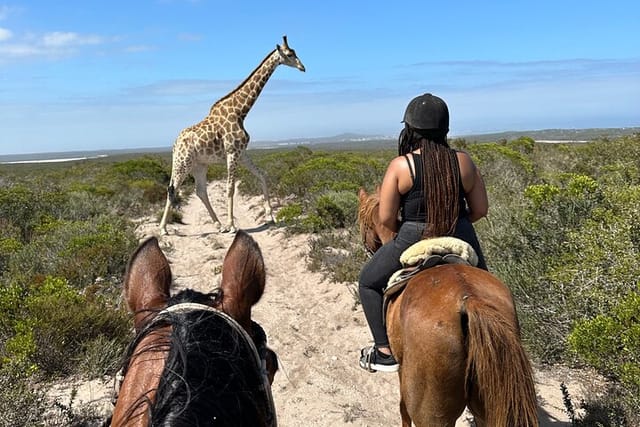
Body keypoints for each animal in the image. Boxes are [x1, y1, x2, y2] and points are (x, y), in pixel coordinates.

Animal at [159, 36, 304, 236]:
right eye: (290, 54)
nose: (302, 67)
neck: (240, 111)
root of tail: (174, 144)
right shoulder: (232, 153)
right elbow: (230, 188)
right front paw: (233, 226)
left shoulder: (242, 153)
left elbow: (262, 175)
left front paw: (270, 216)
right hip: (182, 163)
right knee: (172, 188)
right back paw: (163, 229)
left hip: (199, 165)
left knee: (200, 191)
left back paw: (218, 225)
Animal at [358, 190, 536, 427]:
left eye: (364, 224)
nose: (368, 248)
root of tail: (468, 300)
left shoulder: (402, 372)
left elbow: (403, 411)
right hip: (488, 405)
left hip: (431, 412)